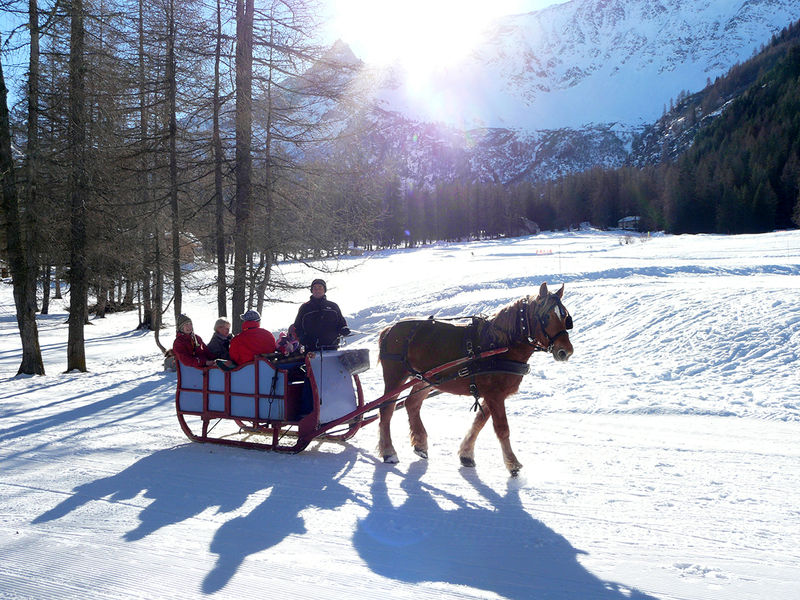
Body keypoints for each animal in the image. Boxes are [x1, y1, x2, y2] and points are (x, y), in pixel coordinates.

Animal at [377, 282, 573, 476]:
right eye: (546, 316)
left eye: (565, 316)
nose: (566, 351)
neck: (501, 345)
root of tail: (389, 329)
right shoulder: (494, 395)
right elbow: (502, 429)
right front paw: (512, 463)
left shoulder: (492, 395)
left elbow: (479, 423)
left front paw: (466, 454)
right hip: (395, 376)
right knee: (386, 409)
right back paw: (389, 452)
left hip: (425, 379)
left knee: (412, 404)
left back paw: (420, 444)